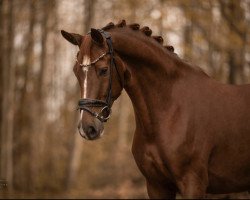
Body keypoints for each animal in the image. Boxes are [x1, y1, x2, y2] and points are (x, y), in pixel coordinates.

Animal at [61, 20, 250, 198]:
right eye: (76, 71)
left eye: (103, 70)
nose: (87, 128)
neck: (170, 110)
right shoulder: (156, 185)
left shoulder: (193, 183)